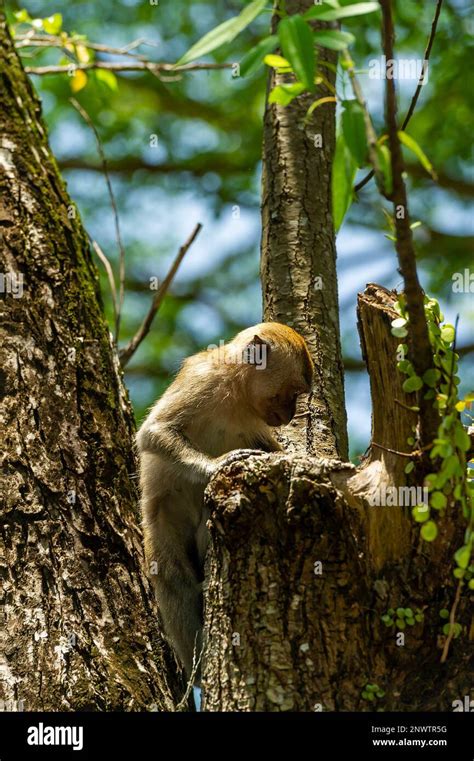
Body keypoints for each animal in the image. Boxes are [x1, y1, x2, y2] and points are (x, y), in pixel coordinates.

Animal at [136, 320, 314, 676]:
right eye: (292, 392)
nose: (290, 415)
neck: (237, 392)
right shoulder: (202, 381)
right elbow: (154, 432)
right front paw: (217, 465)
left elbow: (271, 450)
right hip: (164, 516)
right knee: (171, 573)